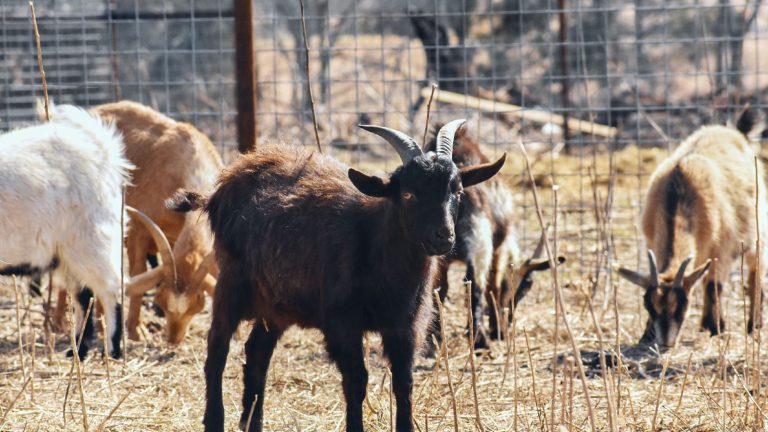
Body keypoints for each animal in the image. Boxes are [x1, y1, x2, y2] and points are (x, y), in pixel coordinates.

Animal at [0, 104, 174, 359]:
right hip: (66, 252)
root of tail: (103, 152)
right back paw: (78, 350)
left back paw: (112, 351)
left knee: (110, 290)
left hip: (90, 241)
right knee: (84, 295)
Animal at [168, 120, 505, 432]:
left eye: (457, 191)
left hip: (275, 304)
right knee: (217, 349)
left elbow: (404, 384)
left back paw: (253, 422)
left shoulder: (406, 326)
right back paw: (215, 420)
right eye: (408, 194)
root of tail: (225, 182)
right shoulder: (343, 324)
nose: (443, 237)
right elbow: (356, 382)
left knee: (257, 354)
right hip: (231, 283)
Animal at [425, 124, 563, 349]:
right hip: (480, 243)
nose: (508, 322)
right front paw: (496, 329)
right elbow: (494, 287)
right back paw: (480, 339)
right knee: (476, 284)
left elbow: (442, 288)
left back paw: (434, 341)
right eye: (526, 286)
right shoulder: (499, 251)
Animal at [618, 109, 766, 348]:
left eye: (682, 305)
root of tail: (737, 133)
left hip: (757, 234)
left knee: (755, 276)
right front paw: (646, 334)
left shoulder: (722, 249)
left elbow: (714, 286)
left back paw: (754, 325)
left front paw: (717, 329)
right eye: (649, 306)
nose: (666, 342)